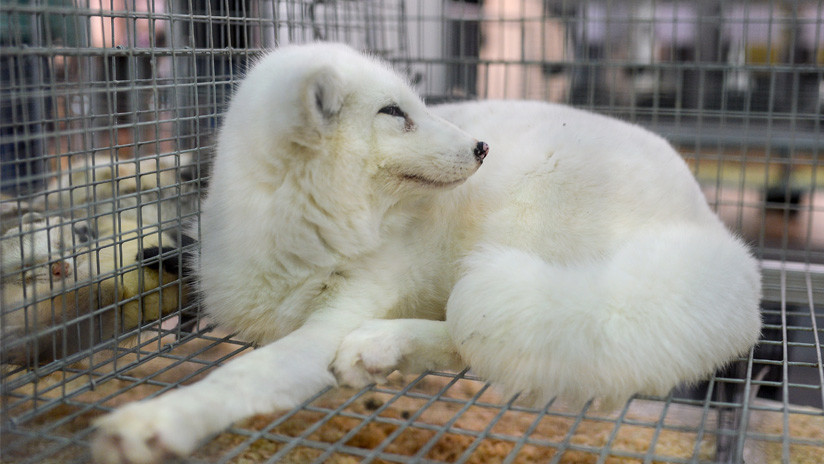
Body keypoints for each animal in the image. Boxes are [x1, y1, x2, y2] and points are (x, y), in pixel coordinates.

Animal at [90, 41, 760, 462]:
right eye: (394, 113)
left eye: (418, 104)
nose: (483, 146)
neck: (299, 236)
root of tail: (710, 224)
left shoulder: (338, 313)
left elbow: (245, 374)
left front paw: (160, 421)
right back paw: (383, 350)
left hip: (518, 229)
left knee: (476, 331)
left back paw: (380, 344)